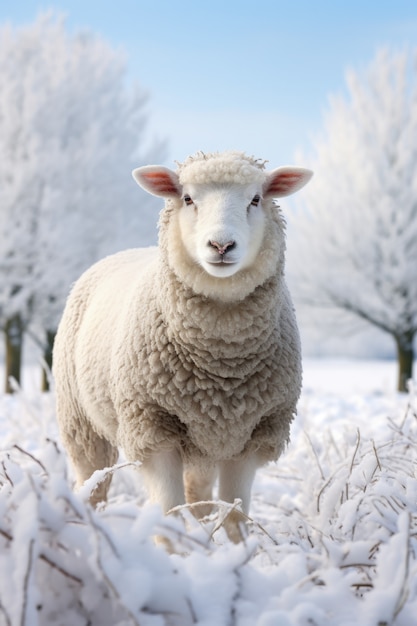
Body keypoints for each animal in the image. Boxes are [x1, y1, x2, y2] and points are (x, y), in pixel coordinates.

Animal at [52, 149, 312, 540]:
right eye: (188, 199)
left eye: (255, 199)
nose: (221, 245)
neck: (221, 359)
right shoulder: (152, 426)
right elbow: (168, 512)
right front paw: (176, 552)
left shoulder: (256, 432)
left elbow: (235, 515)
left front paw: (237, 553)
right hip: (81, 421)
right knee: (93, 482)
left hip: (204, 444)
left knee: (199, 495)